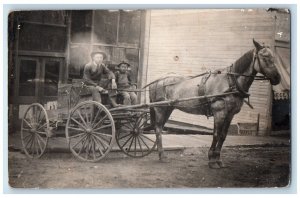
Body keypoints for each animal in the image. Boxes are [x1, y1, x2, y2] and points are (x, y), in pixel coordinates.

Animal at [147, 39, 282, 169]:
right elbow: (216, 135)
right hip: (160, 109)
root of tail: (157, 80)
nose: (277, 78)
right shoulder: (219, 113)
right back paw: (162, 155)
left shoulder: (230, 114)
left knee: (160, 128)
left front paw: (218, 159)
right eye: (264, 57)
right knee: (158, 129)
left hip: (168, 108)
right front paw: (211, 160)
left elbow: (223, 136)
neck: (231, 82)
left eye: (273, 57)